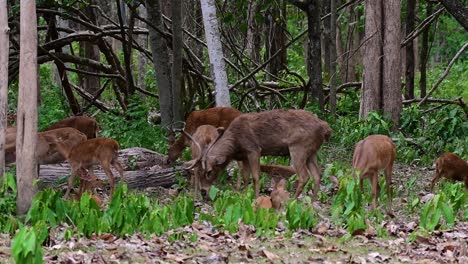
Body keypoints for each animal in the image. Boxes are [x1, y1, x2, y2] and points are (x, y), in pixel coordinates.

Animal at [185, 109, 330, 200]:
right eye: (198, 171)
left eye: (209, 171)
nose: (203, 191)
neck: (235, 144)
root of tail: (325, 127)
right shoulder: (244, 156)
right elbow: (245, 176)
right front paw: (244, 195)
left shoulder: (254, 149)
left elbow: (255, 176)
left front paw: (256, 197)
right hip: (311, 152)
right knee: (317, 174)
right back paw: (313, 202)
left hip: (298, 147)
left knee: (304, 176)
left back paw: (293, 200)